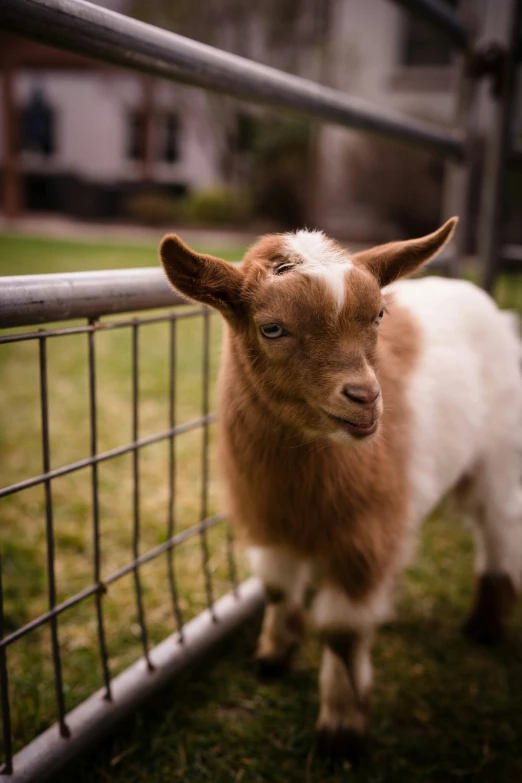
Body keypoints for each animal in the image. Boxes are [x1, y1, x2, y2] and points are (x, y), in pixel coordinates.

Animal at [159, 219, 520, 760]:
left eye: (378, 314)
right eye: (272, 328)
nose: (365, 397)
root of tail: (484, 300)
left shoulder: (363, 535)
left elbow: (342, 632)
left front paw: (343, 729)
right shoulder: (271, 520)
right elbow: (276, 587)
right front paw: (273, 656)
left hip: (500, 455)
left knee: (499, 530)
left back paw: (484, 627)